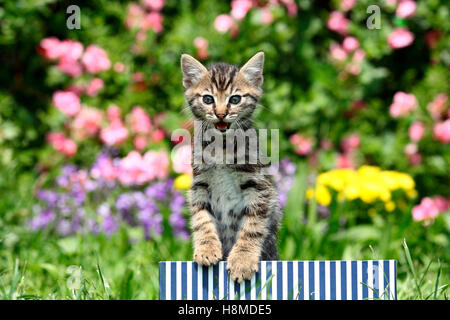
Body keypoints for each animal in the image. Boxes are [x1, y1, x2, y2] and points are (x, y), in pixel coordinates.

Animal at [180, 52, 282, 282]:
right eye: (208, 99)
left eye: (235, 99)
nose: (220, 114)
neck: (222, 146)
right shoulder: (199, 184)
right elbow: (201, 219)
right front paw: (206, 248)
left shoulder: (259, 186)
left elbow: (252, 226)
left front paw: (242, 259)